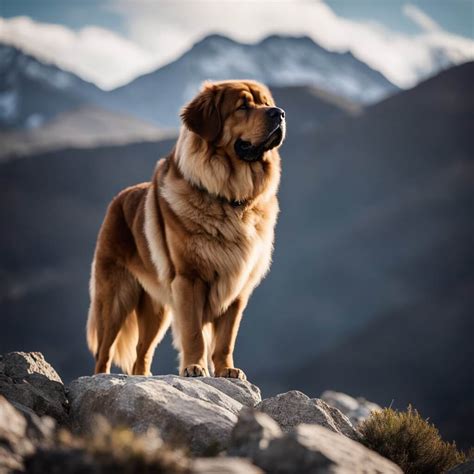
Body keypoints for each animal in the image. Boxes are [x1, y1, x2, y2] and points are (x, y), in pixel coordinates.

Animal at [86, 79, 286, 380]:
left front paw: (226, 369)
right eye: (242, 106)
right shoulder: (189, 280)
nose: (279, 113)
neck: (230, 198)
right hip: (116, 298)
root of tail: (119, 198)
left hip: (156, 309)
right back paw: (102, 377)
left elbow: (226, 339)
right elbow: (193, 333)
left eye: (265, 103)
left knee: (141, 354)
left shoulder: (237, 288)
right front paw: (194, 367)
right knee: (104, 350)